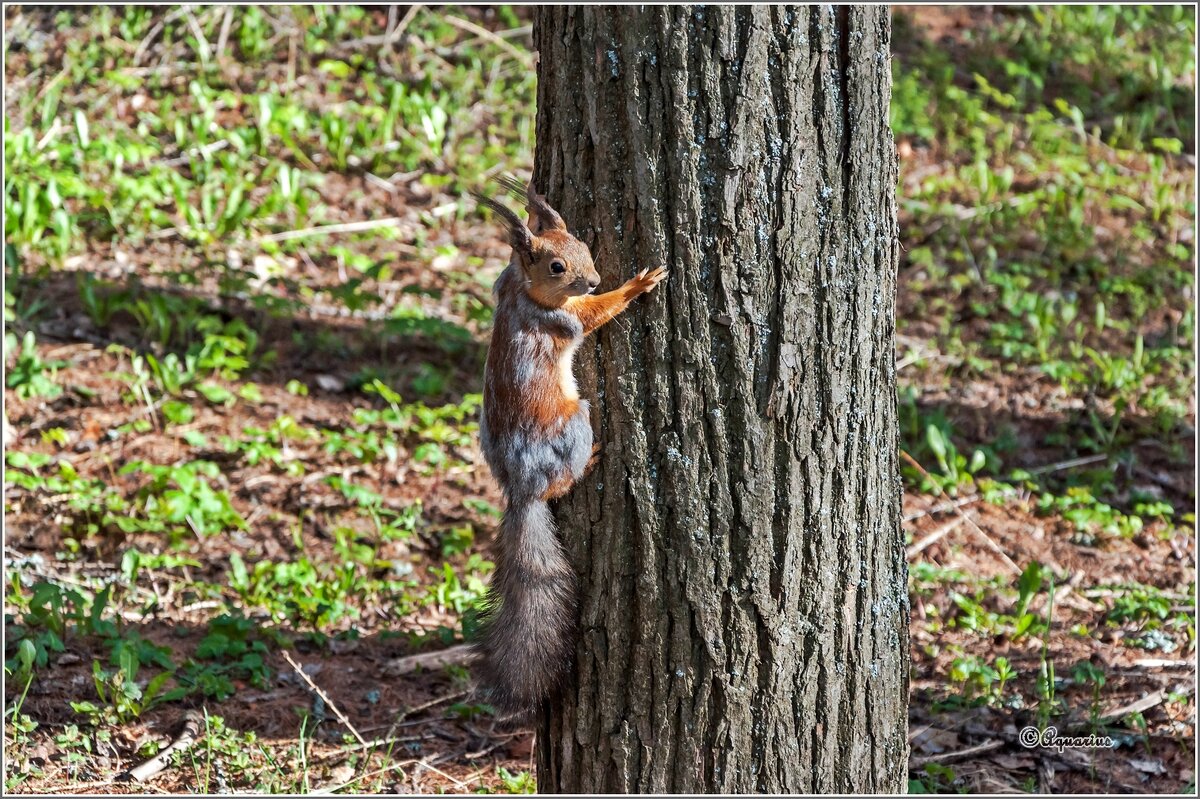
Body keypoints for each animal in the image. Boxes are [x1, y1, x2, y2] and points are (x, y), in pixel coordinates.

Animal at [472, 176, 672, 715]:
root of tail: (522, 487)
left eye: (582, 244)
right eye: (556, 267)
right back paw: (590, 462)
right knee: (561, 481)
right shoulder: (563, 320)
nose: (595, 278)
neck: (523, 290)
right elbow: (594, 315)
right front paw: (637, 284)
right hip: (575, 423)